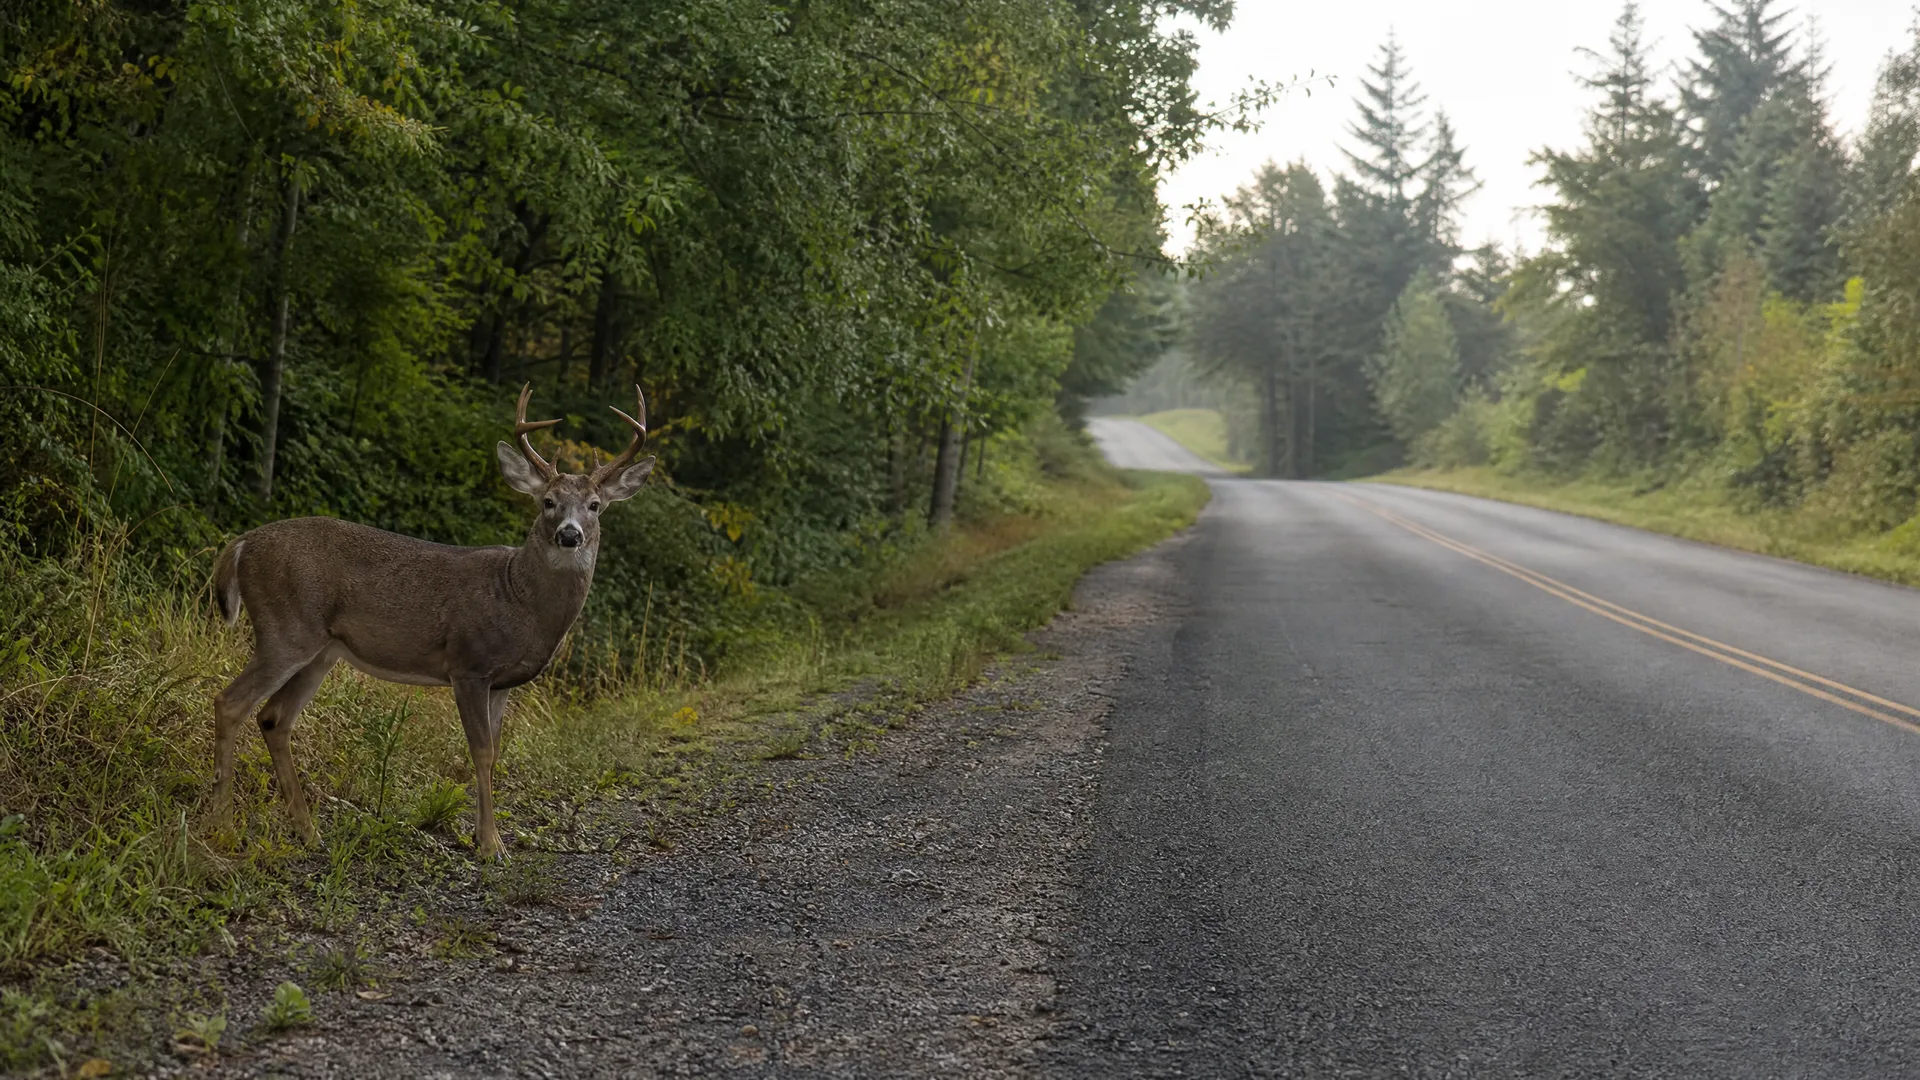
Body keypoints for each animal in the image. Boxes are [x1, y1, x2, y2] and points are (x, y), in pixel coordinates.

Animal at [208, 384, 655, 859]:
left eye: (595, 505)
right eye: (548, 502)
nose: (570, 534)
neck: (520, 599)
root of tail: (241, 544)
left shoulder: (502, 683)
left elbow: (495, 752)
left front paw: (483, 836)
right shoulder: (469, 664)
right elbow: (481, 751)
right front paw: (491, 844)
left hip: (322, 650)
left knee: (274, 718)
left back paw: (308, 831)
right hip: (286, 628)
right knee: (231, 703)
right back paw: (222, 824)